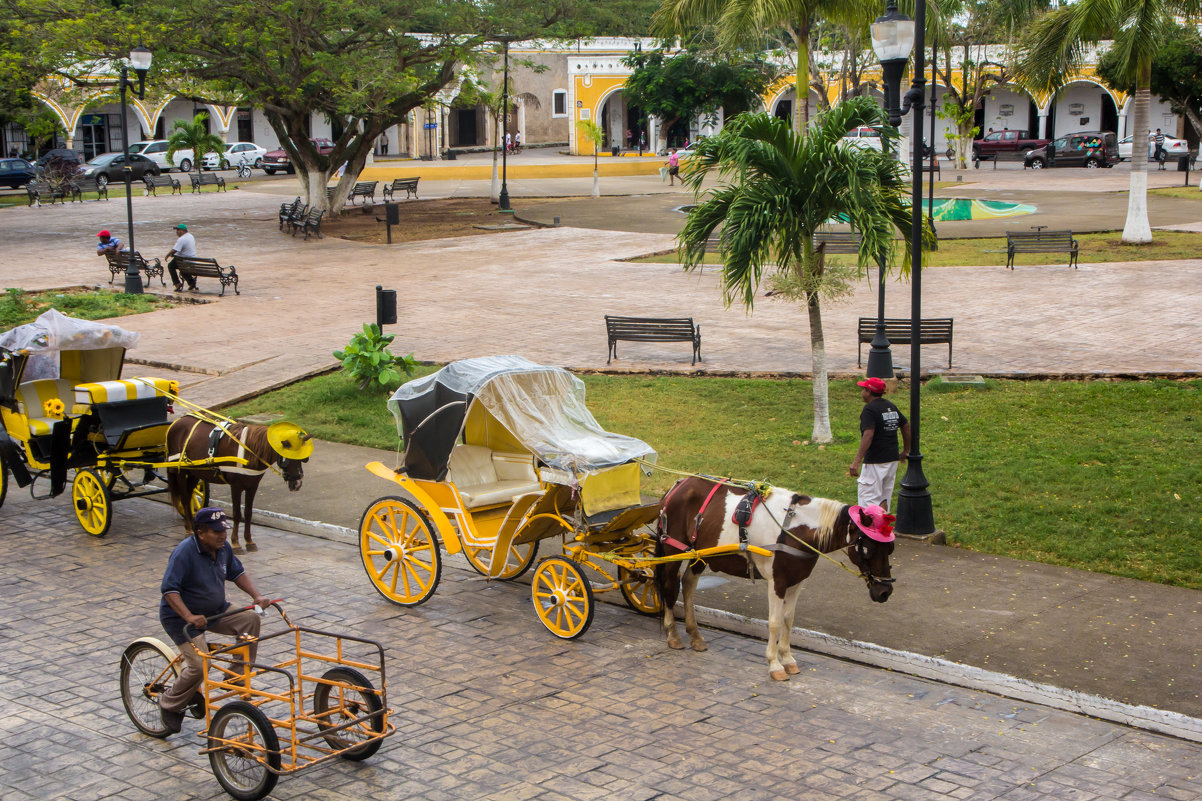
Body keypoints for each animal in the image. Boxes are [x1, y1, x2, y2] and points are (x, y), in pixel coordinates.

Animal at [165, 413, 310, 553]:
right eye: (289, 458)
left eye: (304, 458)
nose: (298, 483)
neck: (248, 451)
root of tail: (177, 422)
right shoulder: (236, 486)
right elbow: (236, 514)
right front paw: (235, 543)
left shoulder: (252, 486)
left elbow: (248, 513)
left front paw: (249, 541)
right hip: (181, 471)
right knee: (184, 498)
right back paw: (189, 529)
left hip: (195, 472)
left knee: (190, 495)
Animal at [658, 473, 894, 678]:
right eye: (868, 549)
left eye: (890, 548)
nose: (885, 591)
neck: (795, 529)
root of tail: (679, 485)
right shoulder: (777, 581)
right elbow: (774, 622)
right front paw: (774, 664)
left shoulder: (797, 581)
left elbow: (788, 619)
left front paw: (787, 659)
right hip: (673, 549)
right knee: (670, 585)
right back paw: (673, 633)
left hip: (701, 553)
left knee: (688, 583)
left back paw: (694, 634)